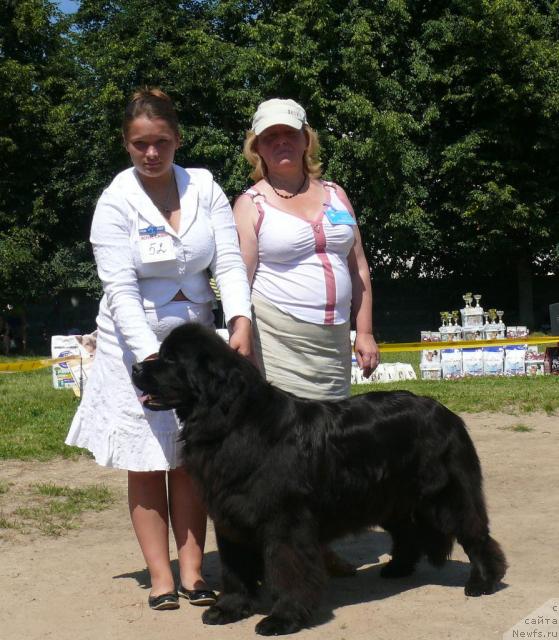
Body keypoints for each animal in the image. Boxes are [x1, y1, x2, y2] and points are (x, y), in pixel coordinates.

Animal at [131, 324, 508, 636]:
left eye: (170, 359)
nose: (135, 368)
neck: (233, 422)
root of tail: (445, 412)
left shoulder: (284, 522)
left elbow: (287, 571)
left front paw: (283, 618)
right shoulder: (230, 516)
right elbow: (235, 568)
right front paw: (229, 609)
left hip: (445, 496)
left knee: (476, 535)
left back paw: (484, 581)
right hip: (389, 498)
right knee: (407, 533)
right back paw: (398, 568)